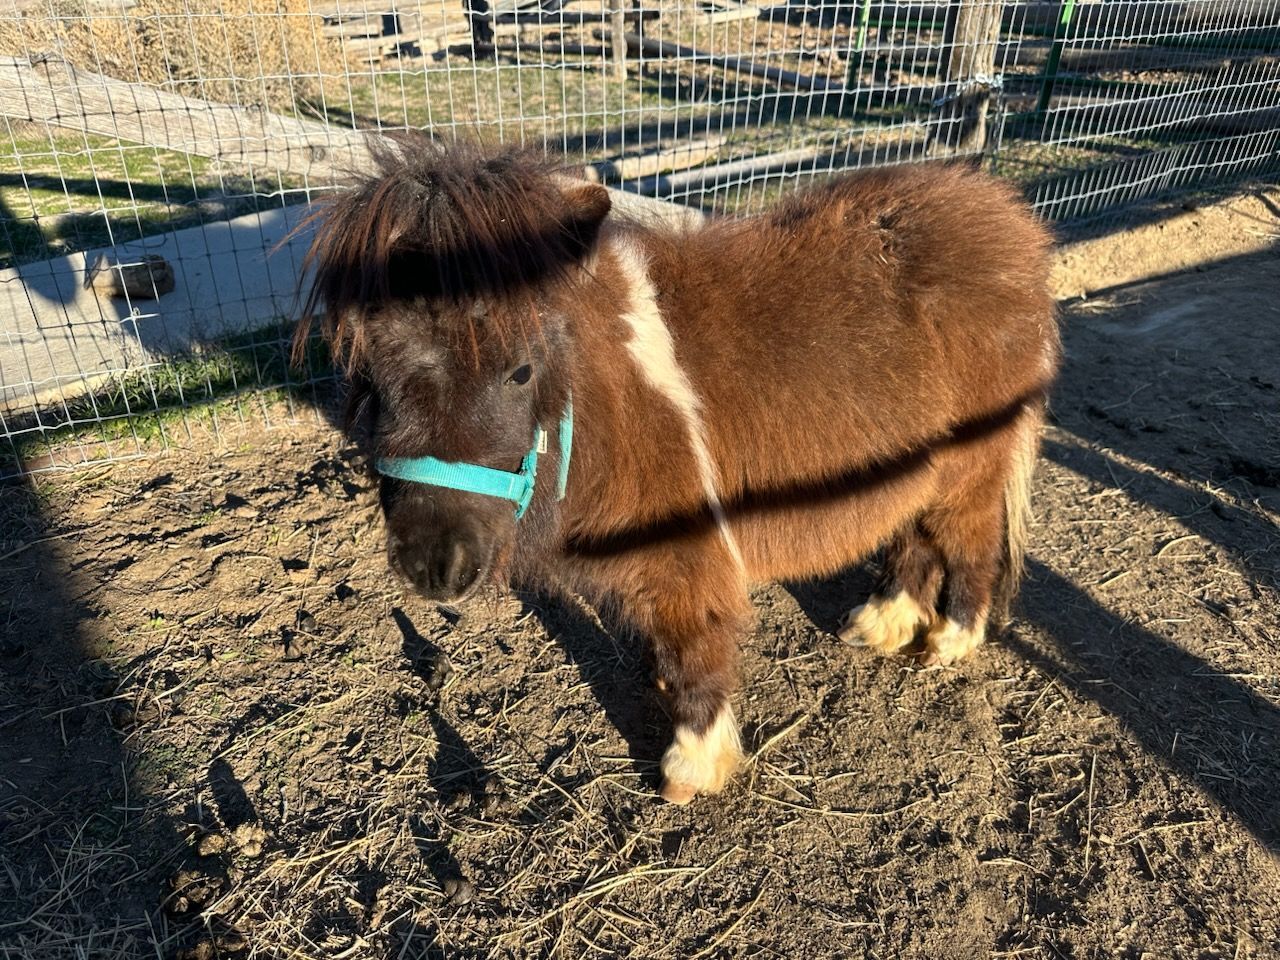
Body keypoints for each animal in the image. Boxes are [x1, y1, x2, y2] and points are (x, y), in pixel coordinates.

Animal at [296, 135, 1060, 805]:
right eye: (366, 374)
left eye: (520, 370)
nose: (433, 565)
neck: (609, 398)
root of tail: (1006, 217)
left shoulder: (685, 560)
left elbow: (694, 652)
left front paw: (691, 770)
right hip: (913, 471)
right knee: (914, 538)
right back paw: (881, 624)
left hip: (970, 471)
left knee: (970, 545)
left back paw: (948, 643)